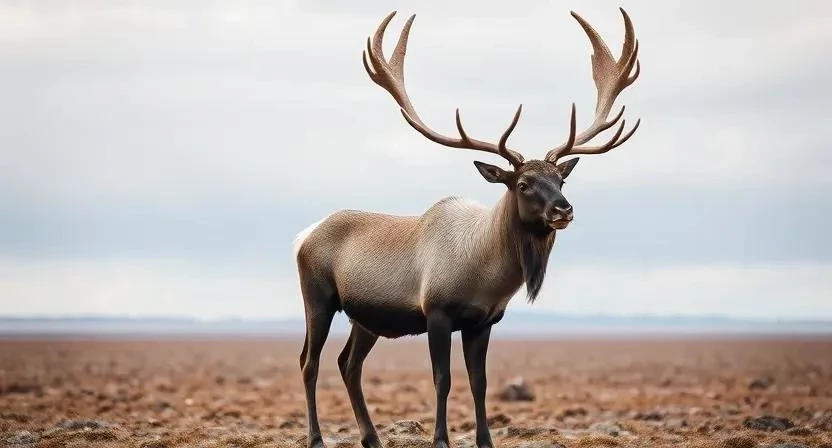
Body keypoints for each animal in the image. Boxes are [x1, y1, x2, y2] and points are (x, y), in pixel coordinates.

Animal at [293, 7, 641, 448]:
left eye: (561, 180)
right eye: (523, 184)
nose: (564, 209)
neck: (487, 273)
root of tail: (303, 236)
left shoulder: (484, 322)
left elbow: (480, 383)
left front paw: (485, 439)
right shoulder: (437, 313)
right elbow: (442, 380)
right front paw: (441, 438)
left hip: (365, 318)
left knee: (348, 364)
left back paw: (371, 437)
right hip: (318, 298)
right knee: (309, 361)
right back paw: (317, 437)